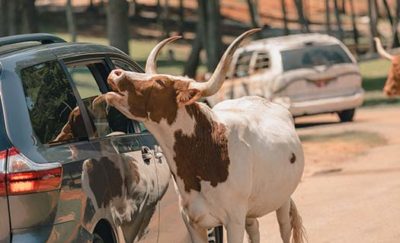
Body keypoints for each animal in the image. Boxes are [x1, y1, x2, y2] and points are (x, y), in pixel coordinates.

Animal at [96, 29, 306, 243]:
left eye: (160, 82)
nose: (116, 73)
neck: (206, 151)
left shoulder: (234, 220)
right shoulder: (192, 221)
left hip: (282, 200)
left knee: (284, 228)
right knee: (254, 229)